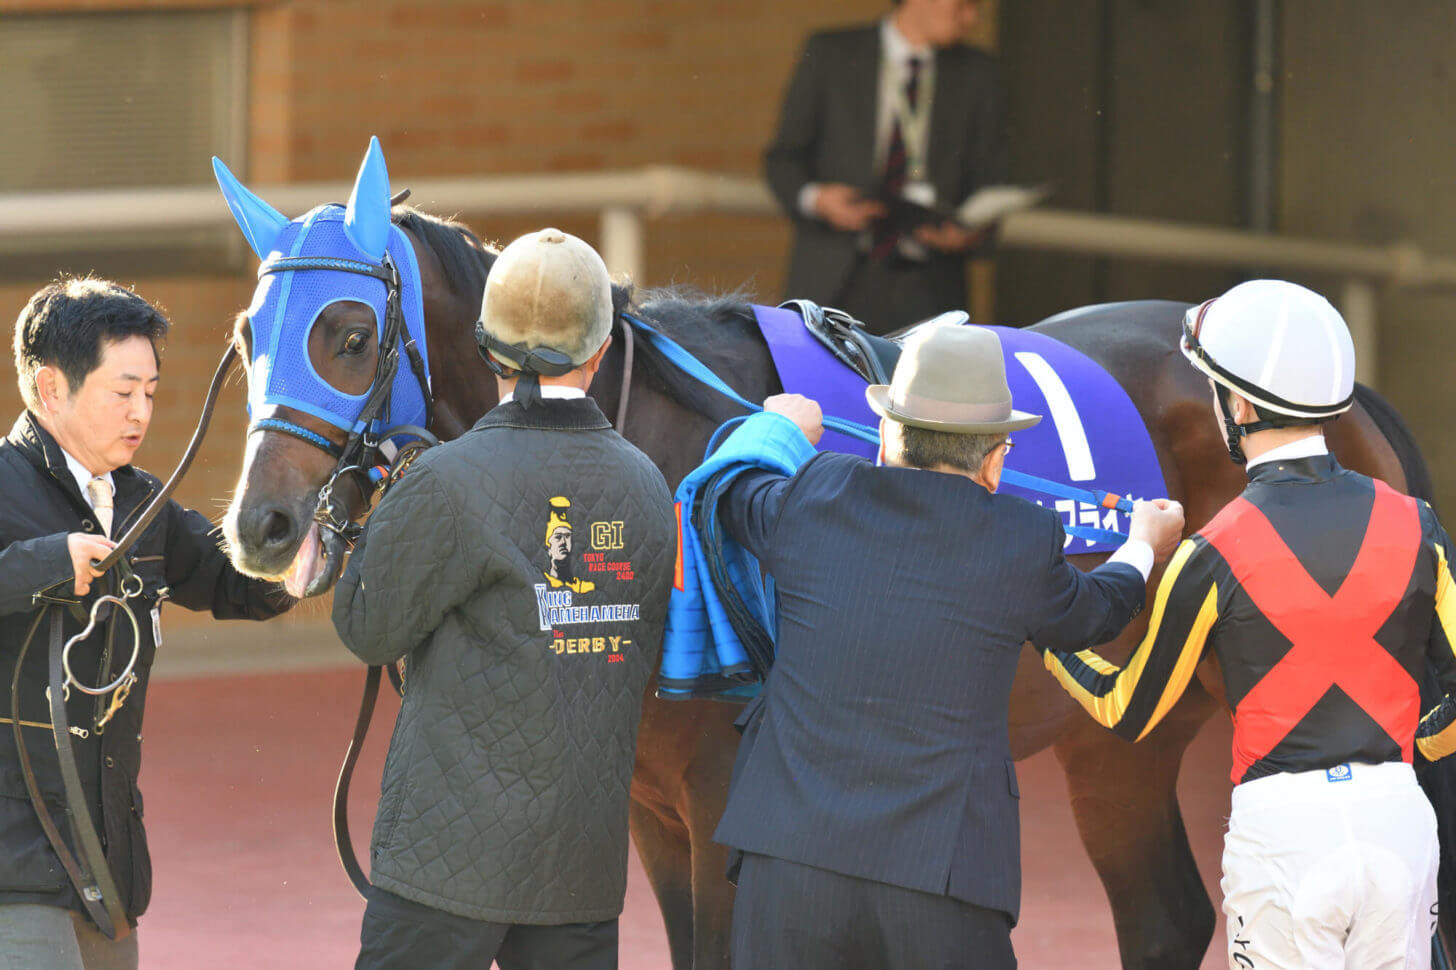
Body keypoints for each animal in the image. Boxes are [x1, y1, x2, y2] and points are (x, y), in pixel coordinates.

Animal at [211, 162, 1450, 961]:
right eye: (246, 337)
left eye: (349, 336)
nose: (261, 523)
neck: (641, 441)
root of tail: (1349, 403)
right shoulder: (648, 808)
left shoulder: (722, 797)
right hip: (1120, 740)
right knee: (1164, 918)